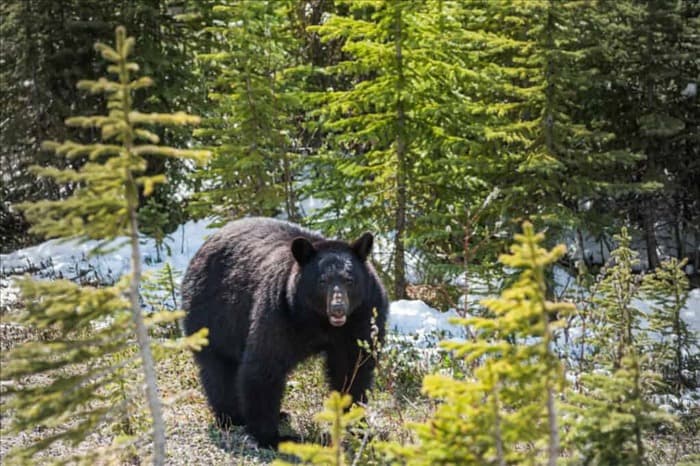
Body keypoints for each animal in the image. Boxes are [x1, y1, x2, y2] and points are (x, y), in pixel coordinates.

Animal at [180, 218, 388, 448]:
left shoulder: (362, 316)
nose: (338, 308)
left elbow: (352, 367)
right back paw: (231, 417)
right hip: (213, 316)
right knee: (219, 368)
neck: (320, 322)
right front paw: (271, 436)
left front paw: (356, 424)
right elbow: (265, 364)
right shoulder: (280, 311)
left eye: (349, 280)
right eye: (322, 281)